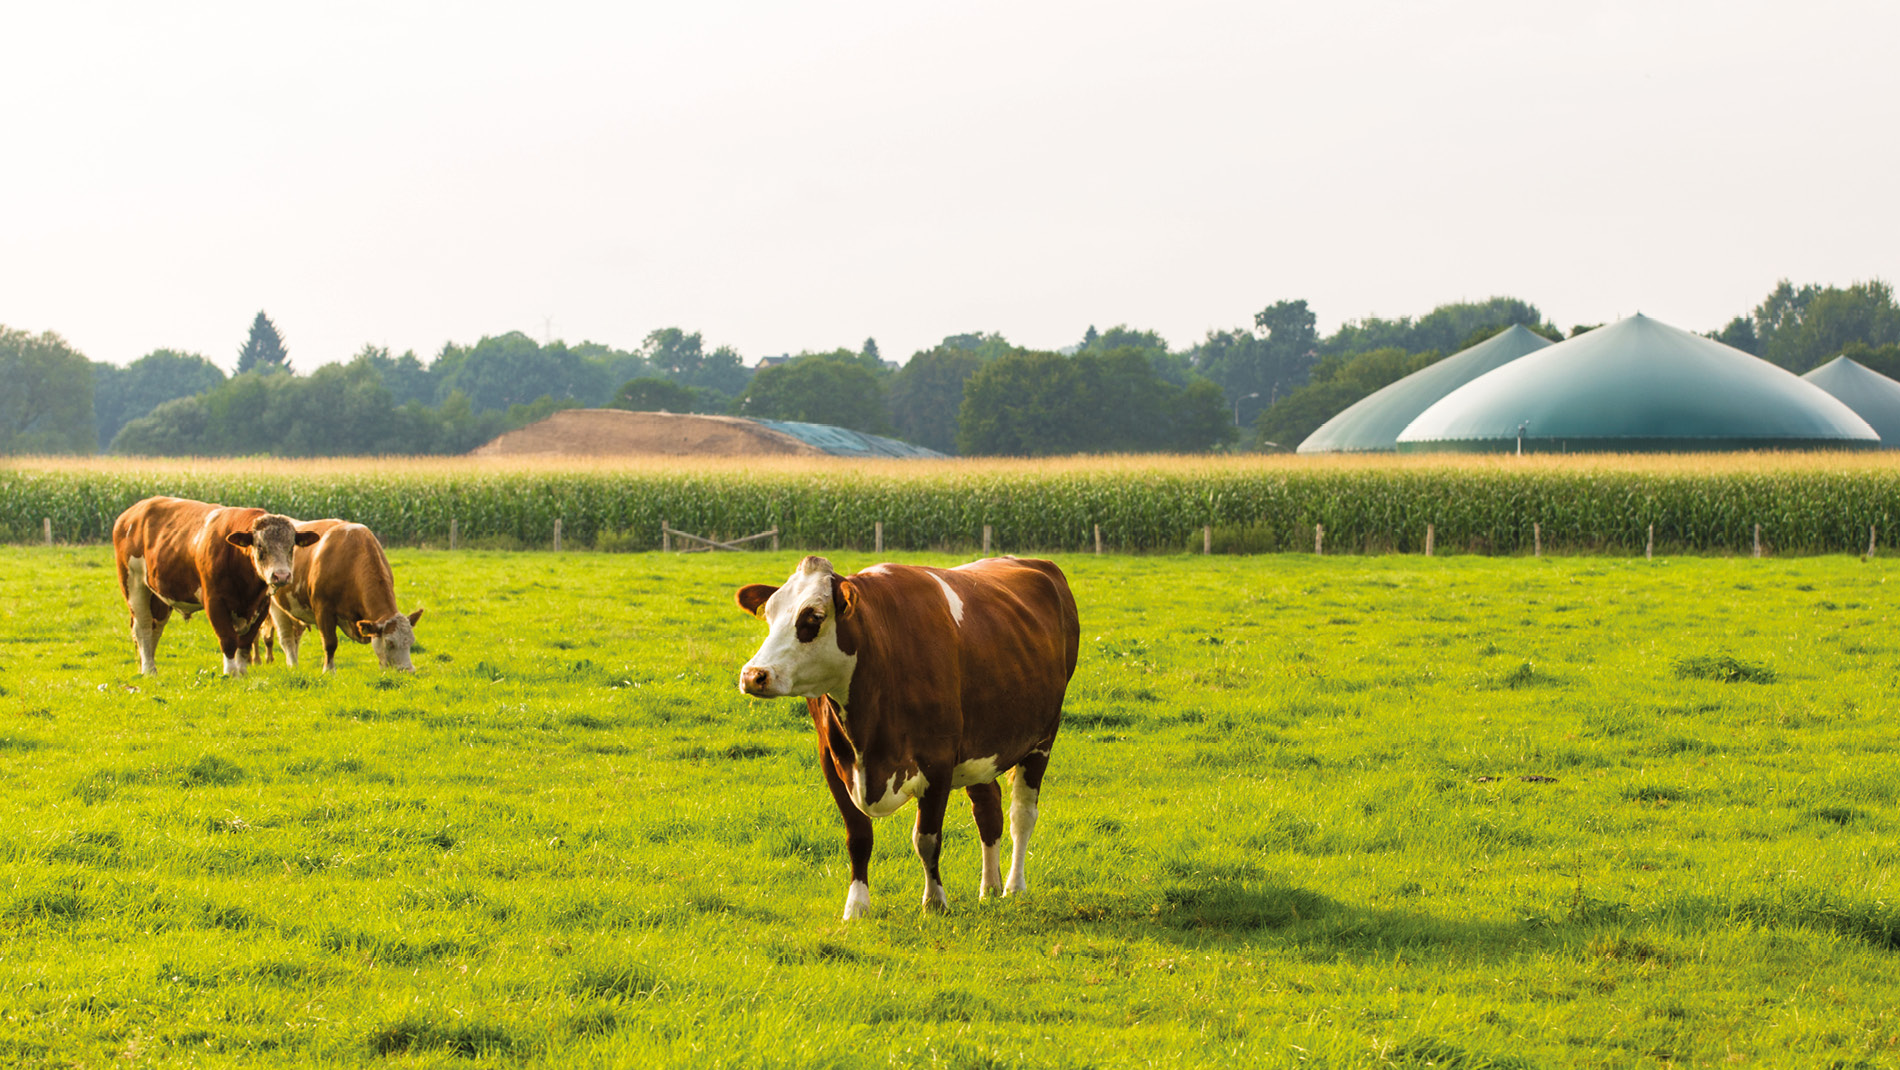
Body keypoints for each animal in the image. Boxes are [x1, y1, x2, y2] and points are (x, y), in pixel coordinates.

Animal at [111, 496, 319, 676]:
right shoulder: (215, 602)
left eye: (291, 546)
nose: (281, 575)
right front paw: (230, 673)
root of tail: (133, 511)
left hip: (159, 596)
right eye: (260, 546)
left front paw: (242, 672)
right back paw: (148, 670)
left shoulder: (261, 605)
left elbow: (245, 642)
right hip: (134, 585)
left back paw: (150, 667)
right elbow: (228, 639)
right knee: (143, 627)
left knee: (155, 627)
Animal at [261, 519, 424, 672]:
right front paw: (328, 671)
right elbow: (330, 643)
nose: (408, 670)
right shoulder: (323, 609)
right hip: (276, 606)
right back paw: (293, 666)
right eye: (390, 643)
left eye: (411, 641)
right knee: (286, 638)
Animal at [736, 555, 1079, 919]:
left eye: (813, 616)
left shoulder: (938, 760)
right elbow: (858, 837)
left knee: (1022, 815)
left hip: (1043, 737)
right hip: (980, 747)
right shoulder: (833, 760)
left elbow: (926, 838)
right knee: (988, 810)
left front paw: (935, 901)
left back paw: (1014, 886)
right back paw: (989, 887)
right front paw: (856, 906)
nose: (754, 675)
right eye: (770, 614)